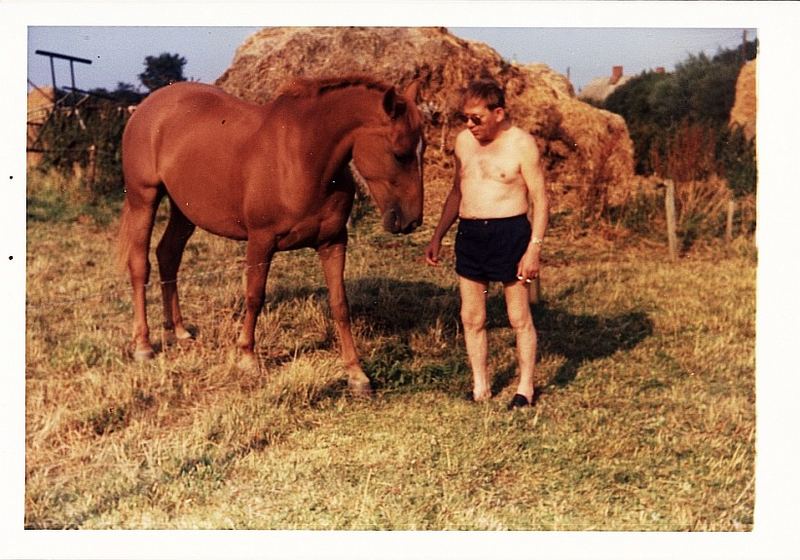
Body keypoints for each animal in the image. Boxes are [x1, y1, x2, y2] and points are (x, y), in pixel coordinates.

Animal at [117, 76, 424, 396]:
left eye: (422, 149)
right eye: (399, 154)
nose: (412, 220)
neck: (302, 157)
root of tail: (146, 107)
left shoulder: (333, 242)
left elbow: (340, 305)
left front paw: (356, 374)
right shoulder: (260, 242)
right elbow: (255, 296)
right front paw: (247, 357)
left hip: (183, 210)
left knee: (168, 256)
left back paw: (178, 331)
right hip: (143, 199)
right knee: (140, 266)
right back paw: (143, 345)